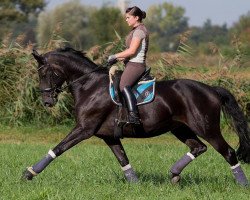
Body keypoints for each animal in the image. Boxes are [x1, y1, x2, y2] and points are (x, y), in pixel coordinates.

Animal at [23, 47, 250, 187]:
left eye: (45, 73)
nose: (47, 101)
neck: (89, 86)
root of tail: (211, 90)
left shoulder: (84, 129)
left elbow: (59, 148)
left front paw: (29, 172)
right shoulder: (109, 136)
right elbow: (123, 159)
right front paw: (135, 184)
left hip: (207, 128)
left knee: (228, 152)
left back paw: (242, 185)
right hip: (180, 128)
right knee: (198, 148)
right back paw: (174, 174)